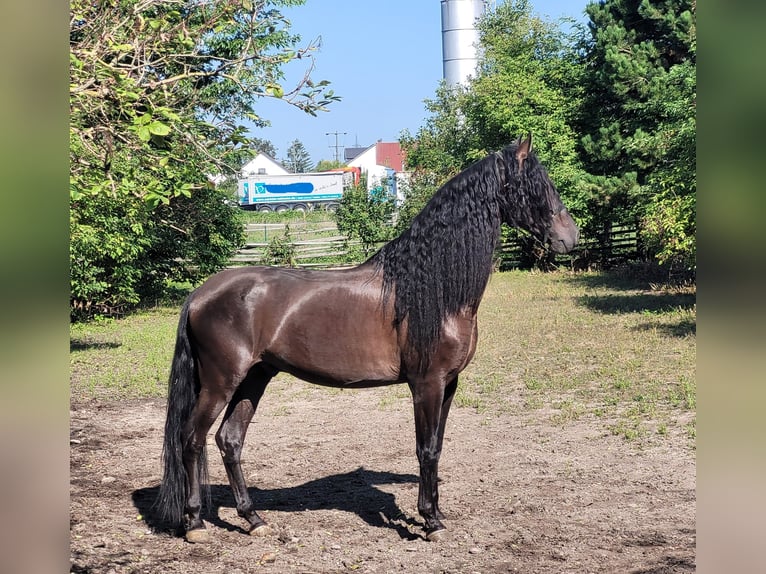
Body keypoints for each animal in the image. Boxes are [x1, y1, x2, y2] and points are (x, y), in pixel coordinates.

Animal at [154, 136, 576, 544]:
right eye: (535, 185)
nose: (569, 236)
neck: (430, 289)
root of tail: (201, 293)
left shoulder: (449, 384)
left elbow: (437, 447)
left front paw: (436, 513)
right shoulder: (426, 384)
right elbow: (425, 448)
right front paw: (430, 522)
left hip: (255, 377)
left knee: (229, 440)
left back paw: (253, 519)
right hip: (219, 383)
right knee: (191, 439)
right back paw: (195, 523)